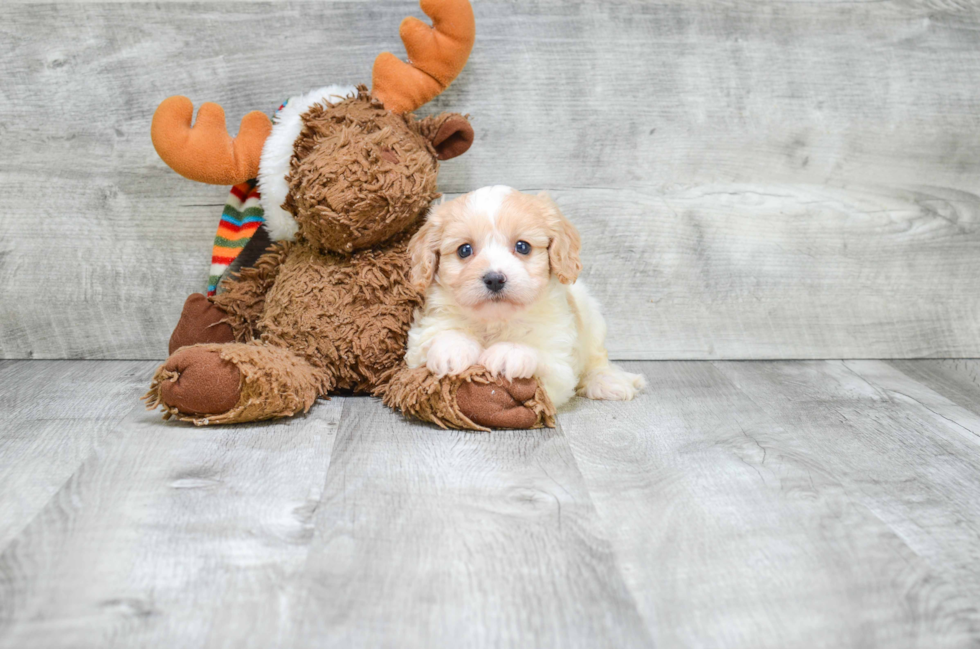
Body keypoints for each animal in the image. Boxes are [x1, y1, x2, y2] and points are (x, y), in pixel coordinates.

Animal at [402, 185, 648, 408]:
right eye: (464, 250)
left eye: (522, 247)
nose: (494, 279)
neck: (495, 321)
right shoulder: (419, 342)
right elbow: (440, 336)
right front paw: (453, 347)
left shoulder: (560, 366)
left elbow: (542, 358)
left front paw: (510, 352)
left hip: (593, 322)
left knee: (597, 360)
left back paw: (608, 382)